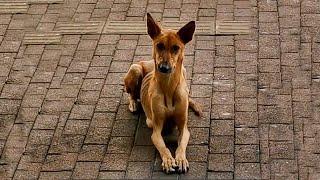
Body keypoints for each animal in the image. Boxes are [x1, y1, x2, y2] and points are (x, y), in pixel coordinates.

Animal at [124, 13, 201, 174]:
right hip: (135, 68)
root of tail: (148, 62)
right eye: (159, 45)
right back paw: (133, 103)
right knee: (131, 94)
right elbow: (163, 147)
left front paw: (181, 159)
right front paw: (168, 160)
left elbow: (181, 145)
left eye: (176, 48)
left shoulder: (184, 128)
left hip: (184, 71)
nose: (164, 67)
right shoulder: (156, 129)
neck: (168, 87)